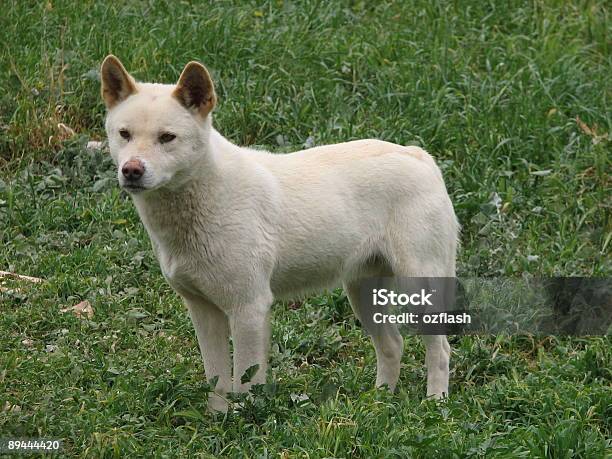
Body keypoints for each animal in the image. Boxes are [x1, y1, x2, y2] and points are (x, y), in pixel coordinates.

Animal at [100, 56, 460, 414]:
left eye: (167, 137)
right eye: (124, 134)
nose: (131, 170)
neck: (209, 194)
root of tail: (419, 157)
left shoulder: (249, 308)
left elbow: (245, 380)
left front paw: (245, 420)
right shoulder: (204, 311)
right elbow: (217, 379)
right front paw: (217, 419)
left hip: (419, 288)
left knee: (440, 350)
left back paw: (436, 404)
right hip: (362, 292)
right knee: (393, 344)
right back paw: (379, 401)